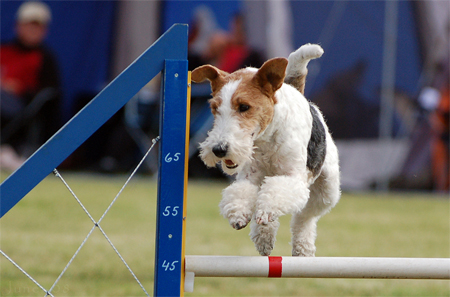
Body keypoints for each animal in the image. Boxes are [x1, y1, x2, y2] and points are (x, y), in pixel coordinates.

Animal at [191, 42, 342, 256]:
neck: (266, 140)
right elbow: (243, 193)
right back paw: (264, 239)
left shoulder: (293, 178)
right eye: (214, 108)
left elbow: (274, 195)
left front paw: (265, 214)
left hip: (326, 190)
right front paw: (239, 214)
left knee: (305, 217)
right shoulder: (250, 177)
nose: (219, 149)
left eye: (244, 106)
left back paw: (302, 248)